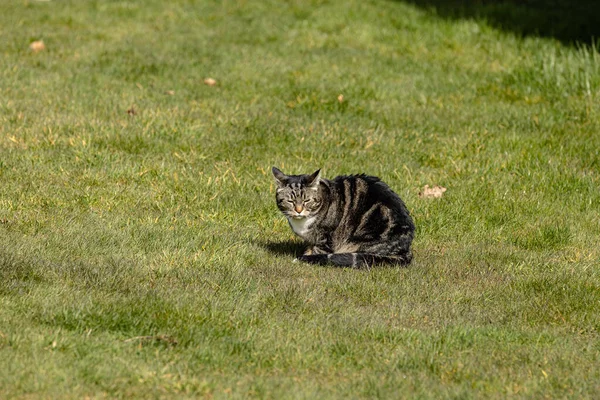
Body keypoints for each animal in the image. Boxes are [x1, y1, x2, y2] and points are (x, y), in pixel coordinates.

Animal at [270, 167, 412, 268]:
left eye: (306, 200)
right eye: (290, 201)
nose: (298, 211)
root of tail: (405, 251)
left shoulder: (326, 237)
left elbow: (318, 251)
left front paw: (306, 258)